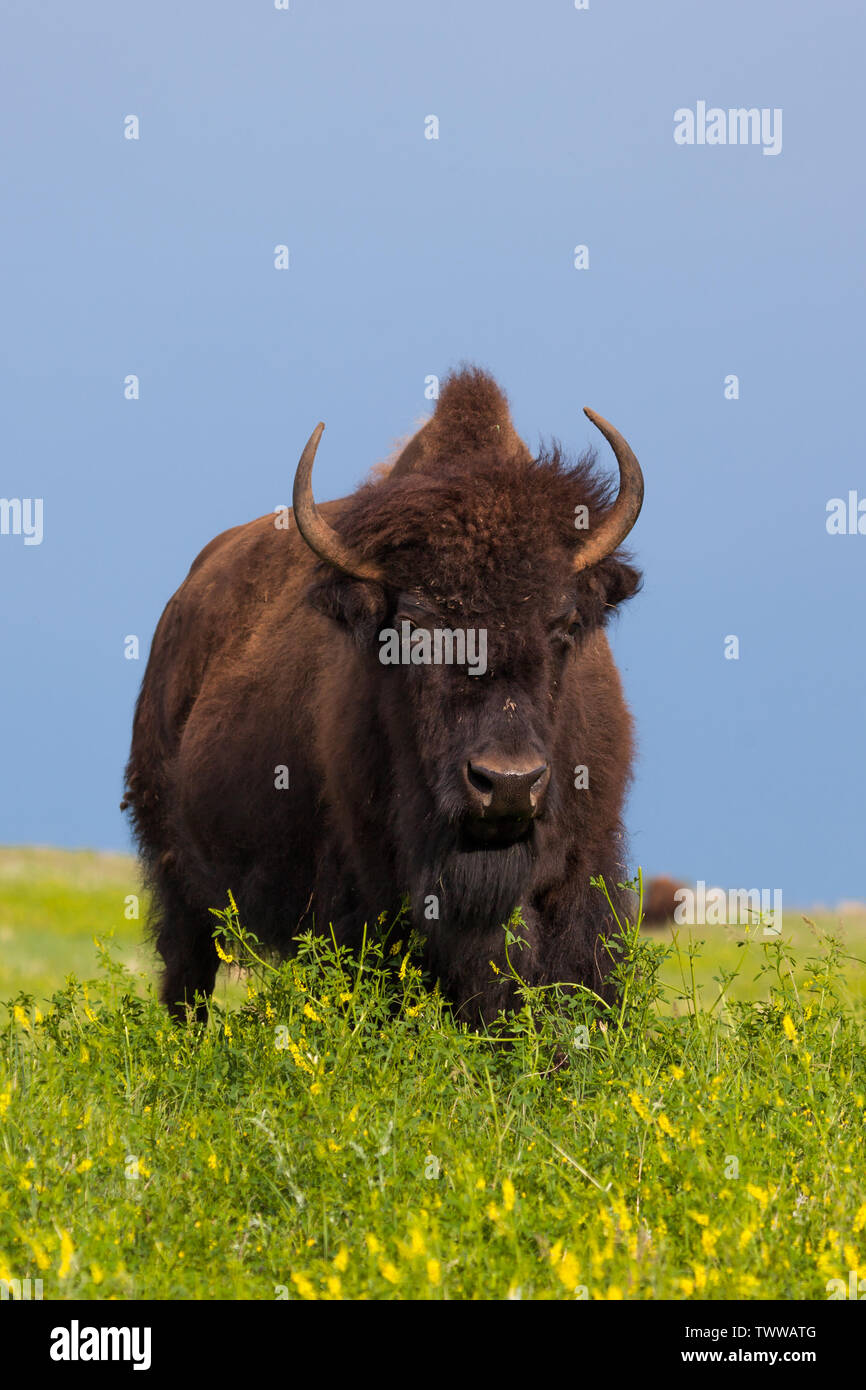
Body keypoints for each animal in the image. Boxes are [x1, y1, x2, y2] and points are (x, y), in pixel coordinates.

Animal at [123, 368, 644, 1022]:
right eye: (413, 629)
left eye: (566, 624)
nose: (507, 783)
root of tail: (182, 603)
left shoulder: (580, 880)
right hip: (179, 880)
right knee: (186, 975)